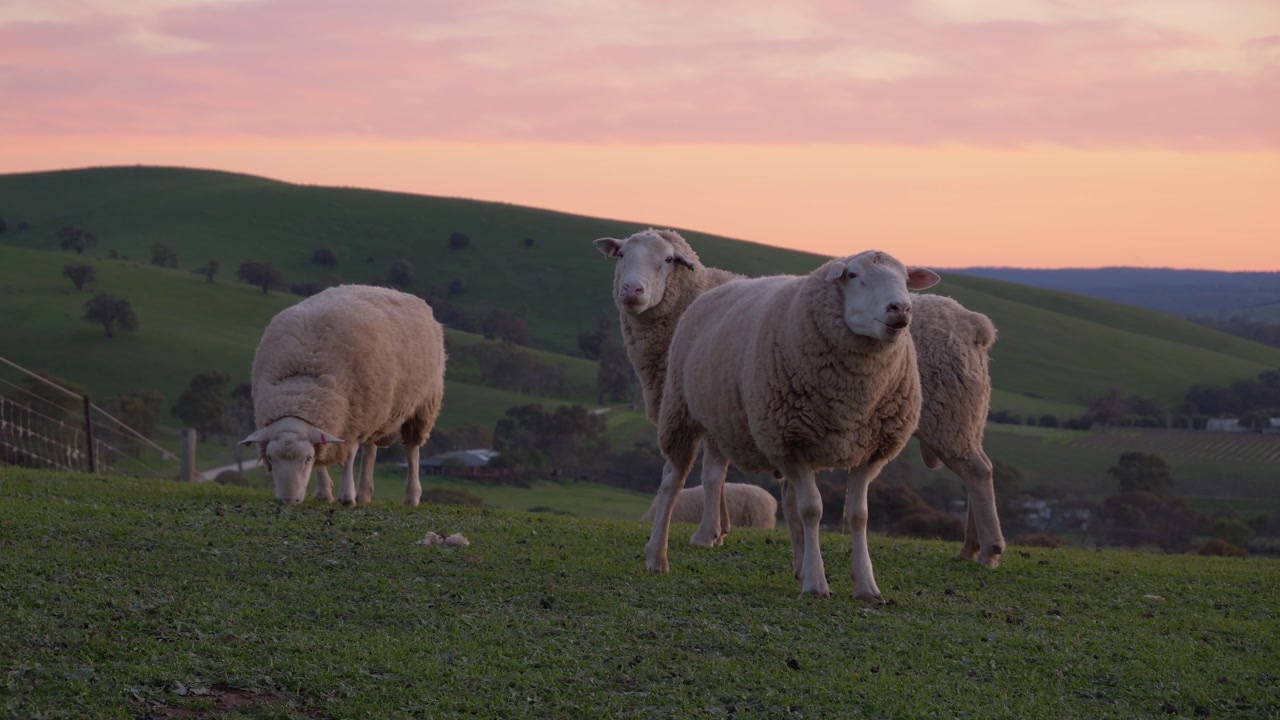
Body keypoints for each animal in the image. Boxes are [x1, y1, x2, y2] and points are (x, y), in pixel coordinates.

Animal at [239, 284, 446, 506]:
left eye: (307, 459)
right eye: (270, 458)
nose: (288, 500)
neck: (300, 388)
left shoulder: (351, 416)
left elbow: (348, 456)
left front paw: (346, 496)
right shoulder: (334, 414)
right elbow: (326, 452)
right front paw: (323, 493)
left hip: (421, 404)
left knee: (412, 451)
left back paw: (411, 496)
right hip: (376, 404)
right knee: (370, 450)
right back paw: (364, 493)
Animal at [593, 229, 744, 546]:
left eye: (667, 259)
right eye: (622, 254)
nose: (631, 290)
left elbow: (711, 474)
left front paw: (706, 534)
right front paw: (721, 529)